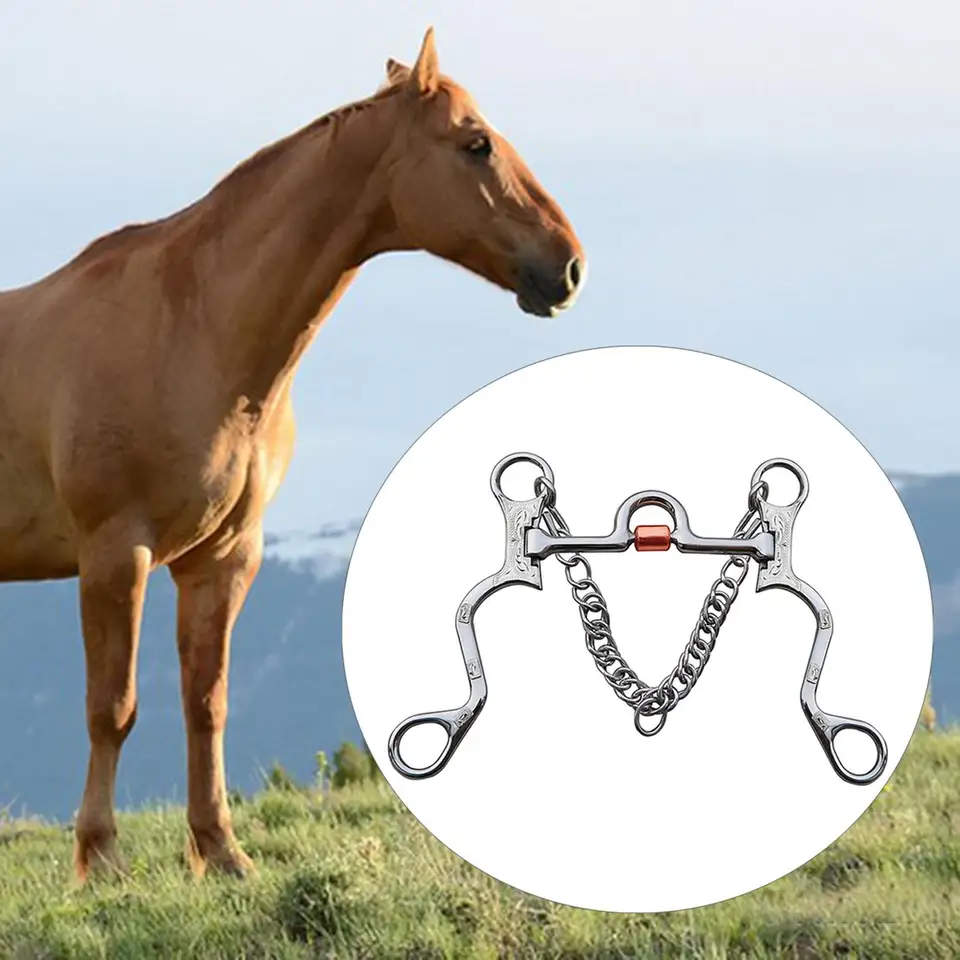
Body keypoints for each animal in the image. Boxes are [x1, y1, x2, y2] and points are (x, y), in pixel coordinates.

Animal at [0, 27, 585, 881]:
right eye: (475, 143)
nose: (568, 264)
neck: (191, 329)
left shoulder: (223, 557)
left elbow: (206, 703)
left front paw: (221, 853)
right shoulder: (115, 552)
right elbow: (112, 707)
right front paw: (101, 861)